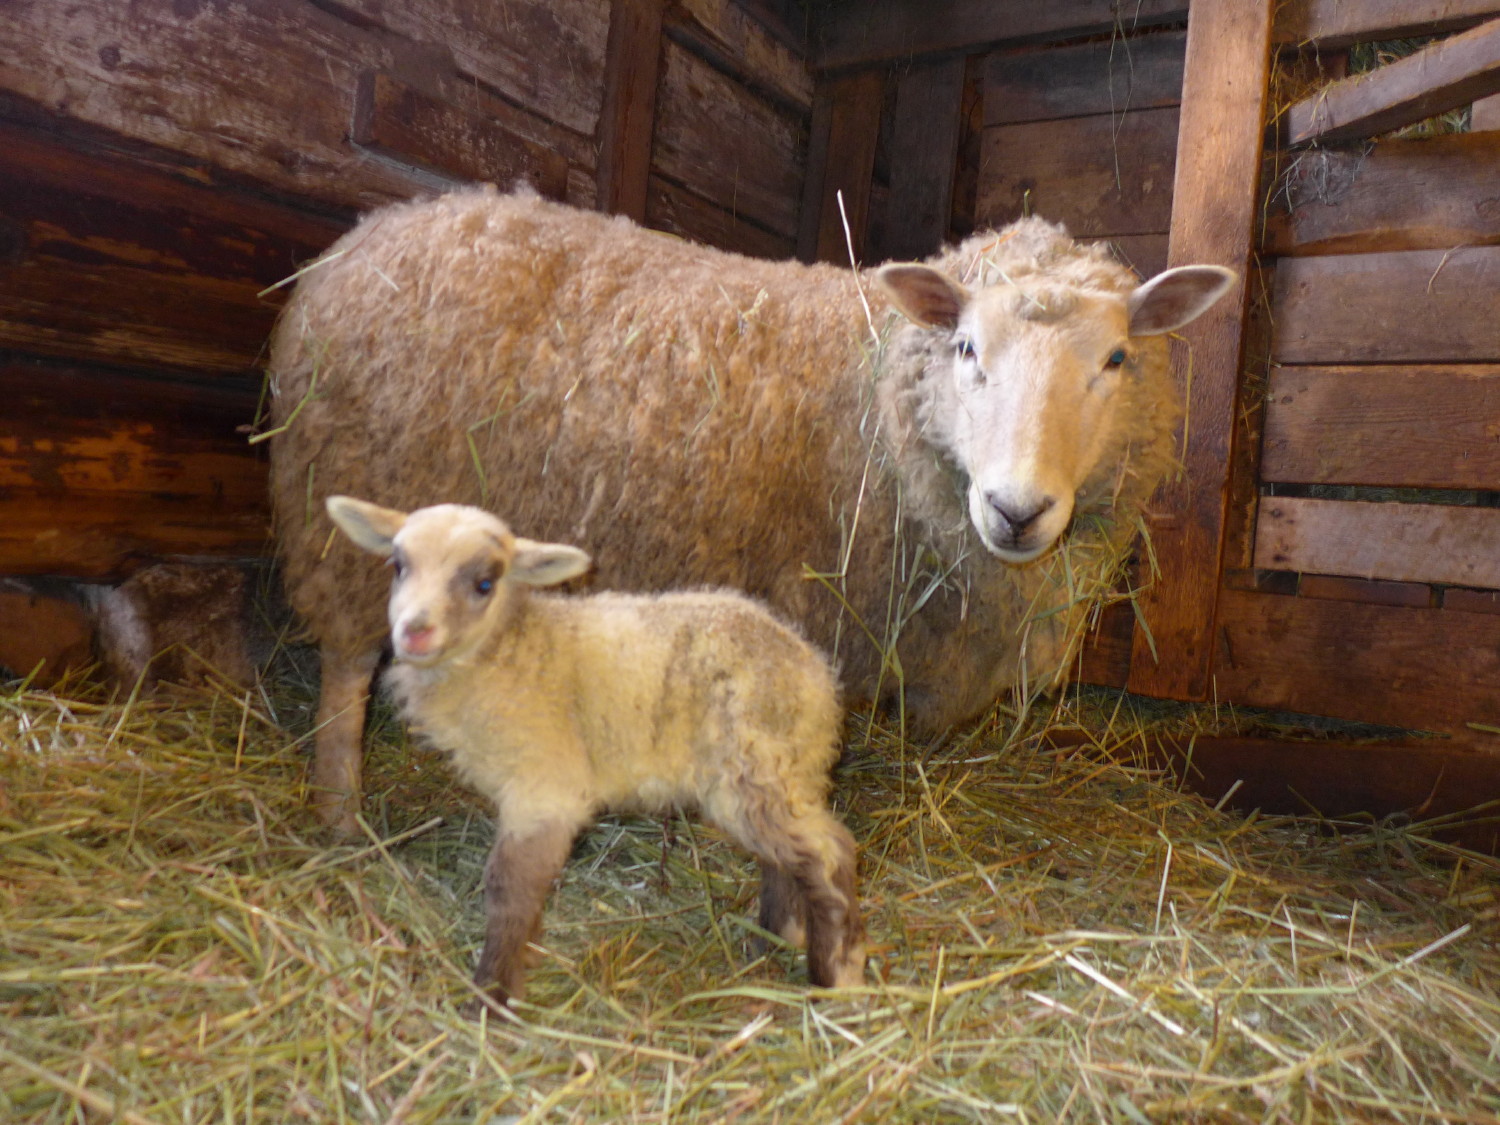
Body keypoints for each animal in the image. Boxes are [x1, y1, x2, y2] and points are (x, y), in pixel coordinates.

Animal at [267, 187, 1236, 832]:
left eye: (1116, 359)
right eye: (966, 347)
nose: (1016, 510)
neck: (869, 394)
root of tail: (363, 236)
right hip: (351, 524)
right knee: (346, 672)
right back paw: (343, 815)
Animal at [324, 494, 865, 1003]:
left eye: (484, 583)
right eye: (398, 566)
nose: (414, 632)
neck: (512, 651)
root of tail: (815, 673)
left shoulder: (544, 789)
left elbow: (510, 887)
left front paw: (493, 995)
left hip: (755, 765)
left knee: (827, 852)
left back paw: (835, 972)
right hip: (777, 772)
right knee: (786, 857)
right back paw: (772, 939)